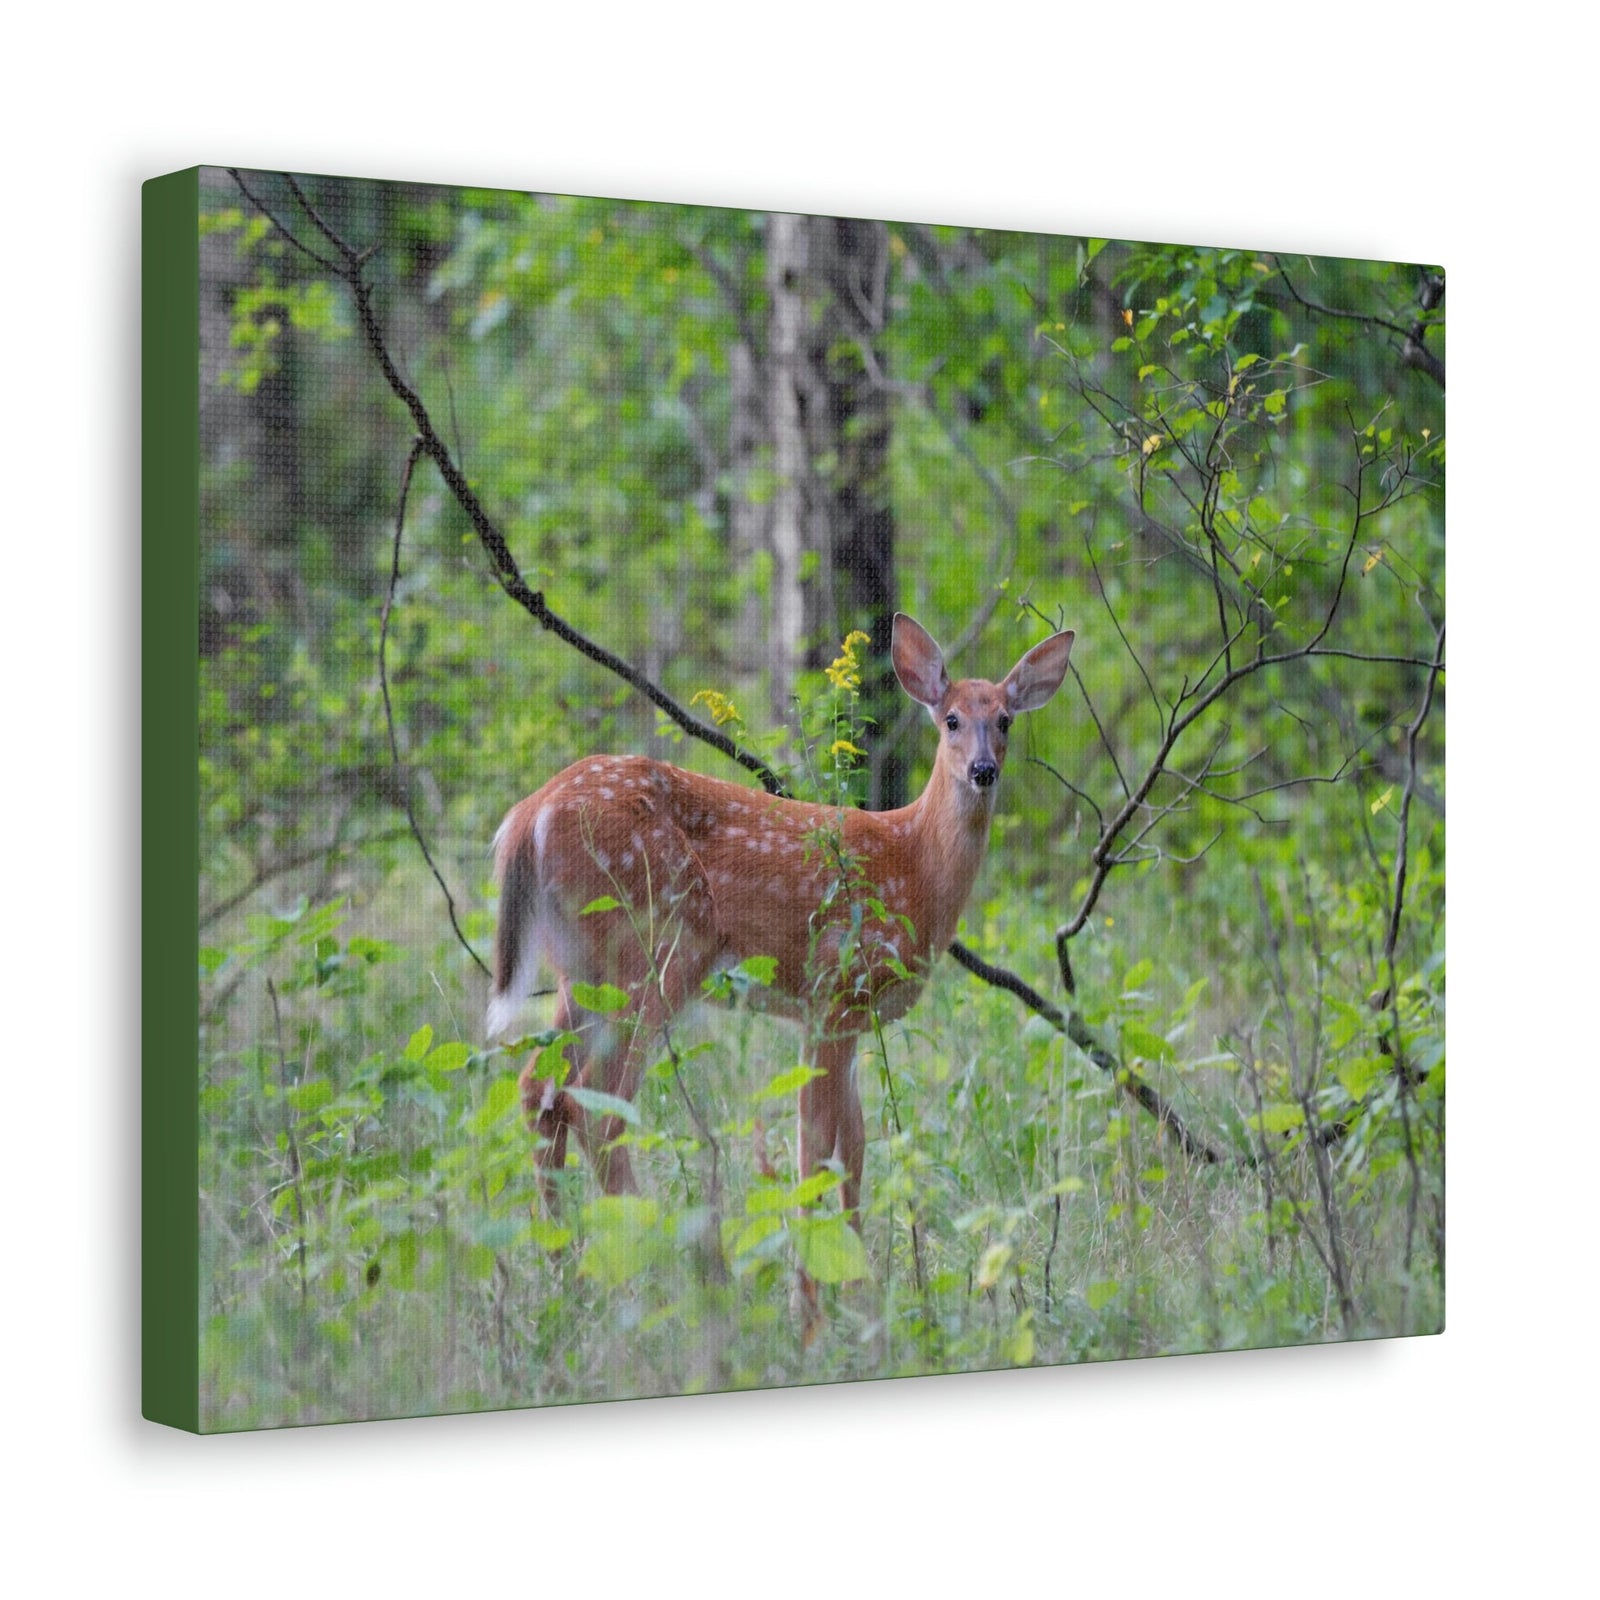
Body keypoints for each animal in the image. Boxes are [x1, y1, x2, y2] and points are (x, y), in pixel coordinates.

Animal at [486, 613, 1074, 1283]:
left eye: (1005, 719)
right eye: (950, 718)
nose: (983, 770)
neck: (914, 865)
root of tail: (527, 815)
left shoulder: (850, 1016)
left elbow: (854, 1147)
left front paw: (859, 1274)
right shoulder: (834, 990)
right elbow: (815, 1146)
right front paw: (815, 1271)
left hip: (582, 966)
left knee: (538, 1089)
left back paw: (566, 1265)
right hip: (657, 947)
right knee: (596, 1105)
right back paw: (669, 1258)